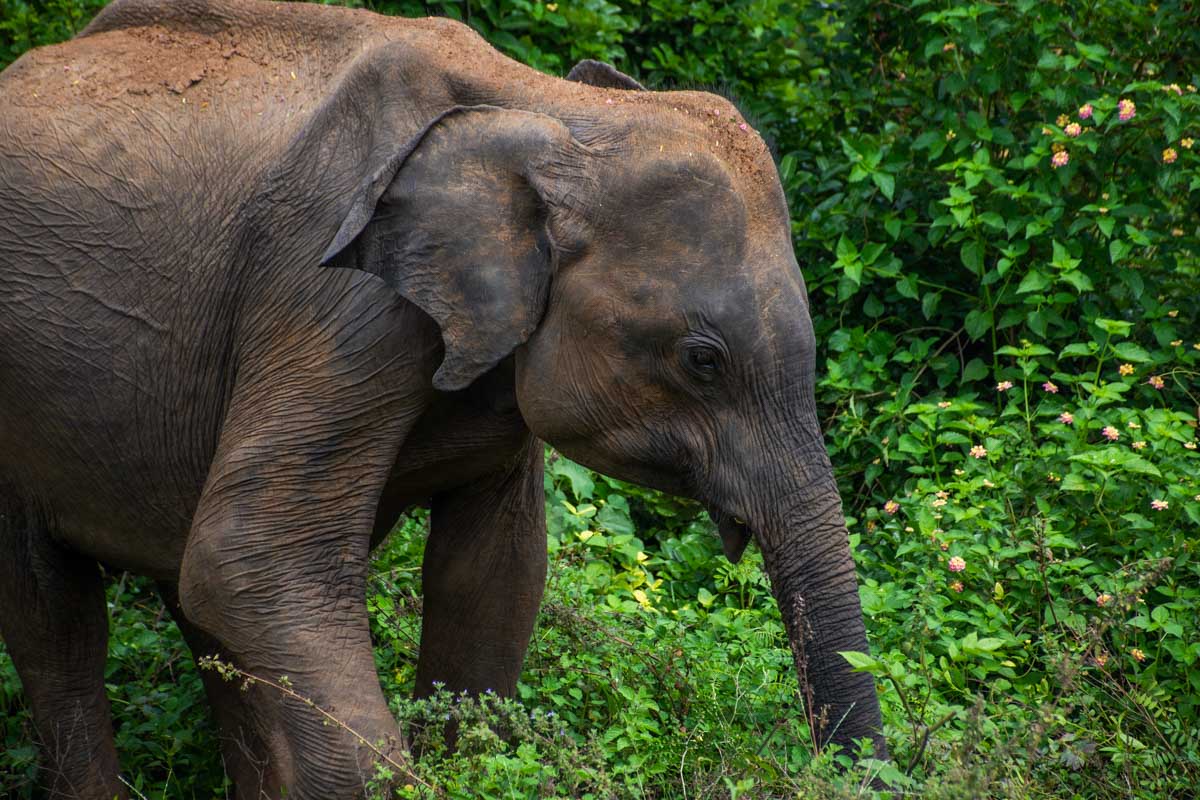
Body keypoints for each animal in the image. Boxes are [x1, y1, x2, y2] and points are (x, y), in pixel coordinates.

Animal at [0, 0, 886, 797]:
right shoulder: (330, 292)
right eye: (702, 360)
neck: (542, 108)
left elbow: (494, 577)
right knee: (59, 621)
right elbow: (247, 555)